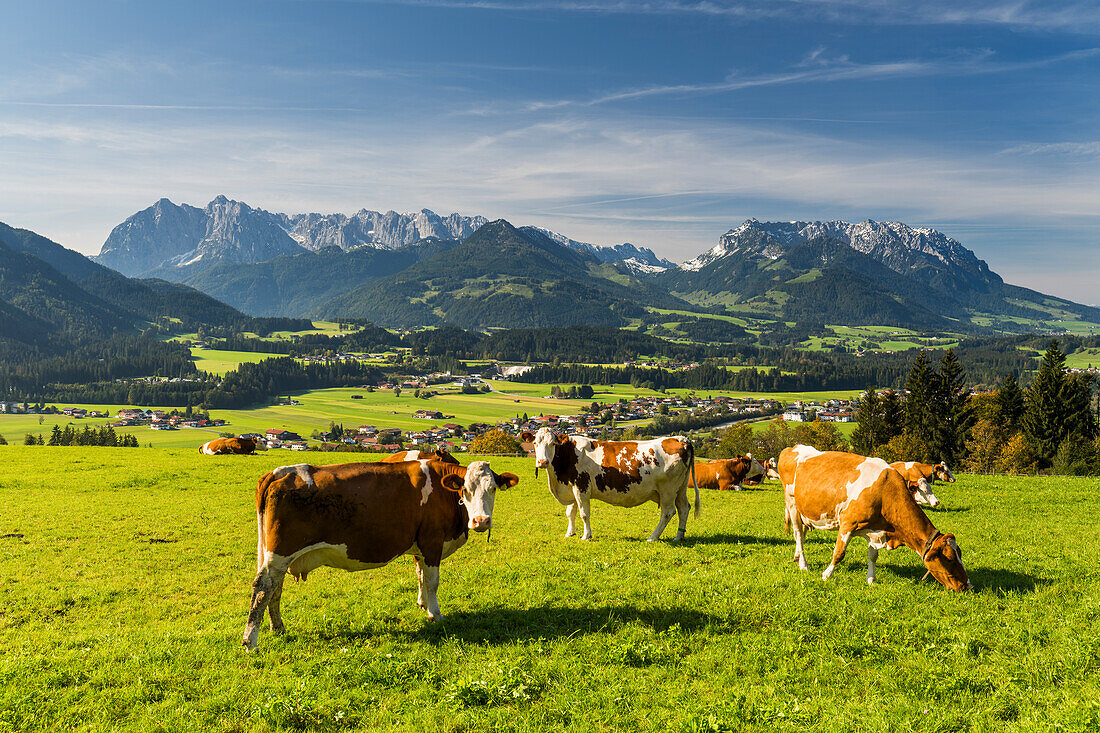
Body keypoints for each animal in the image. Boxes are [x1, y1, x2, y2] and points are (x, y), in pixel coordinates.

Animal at [239, 460, 519, 647]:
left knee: (274, 589)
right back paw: (250, 641)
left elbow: (420, 575)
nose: (481, 521)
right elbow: (432, 581)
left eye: (493, 489)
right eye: (465, 490)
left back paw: (278, 627)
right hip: (280, 552)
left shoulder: (420, 544)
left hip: (274, 554)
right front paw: (435, 614)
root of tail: (279, 472)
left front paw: (423, 604)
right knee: (263, 587)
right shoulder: (432, 542)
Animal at [521, 424, 695, 539]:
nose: (542, 462)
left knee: (668, 512)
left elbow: (584, 513)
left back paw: (653, 537)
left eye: (552, 444)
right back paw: (678, 537)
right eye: (535, 443)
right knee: (684, 508)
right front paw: (570, 533)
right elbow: (570, 512)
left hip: (668, 490)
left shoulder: (581, 486)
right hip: (680, 488)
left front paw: (586, 536)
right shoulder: (572, 487)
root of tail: (680, 438)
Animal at [774, 440, 972, 589]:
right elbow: (839, 553)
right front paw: (827, 574)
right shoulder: (848, 523)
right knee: (799, 534)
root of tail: (792, 447)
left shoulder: (876, 529)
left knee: (802, 534)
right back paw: (803, 564)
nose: (967, 586)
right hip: (792, 503)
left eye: (960, 554)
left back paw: (797, 557)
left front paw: (871, 579)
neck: (885, 492)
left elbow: (873, 556)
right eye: (949, 558)